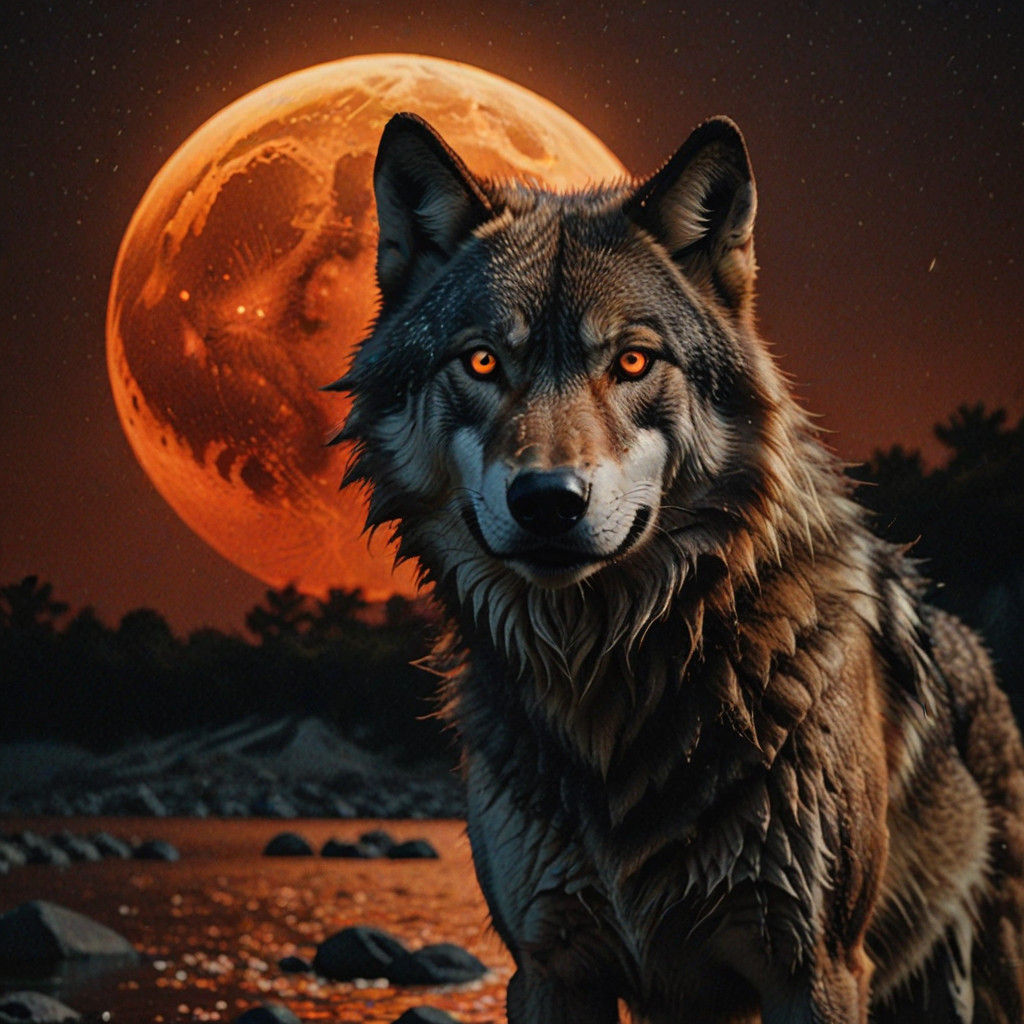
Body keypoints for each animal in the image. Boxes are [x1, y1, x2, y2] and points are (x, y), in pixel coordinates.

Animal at [329, 112, 1024, 1022]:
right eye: (482, 362)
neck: (611, 687)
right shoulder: (550, 966)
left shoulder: (815, 967)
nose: (548, 500)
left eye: (631, 361)